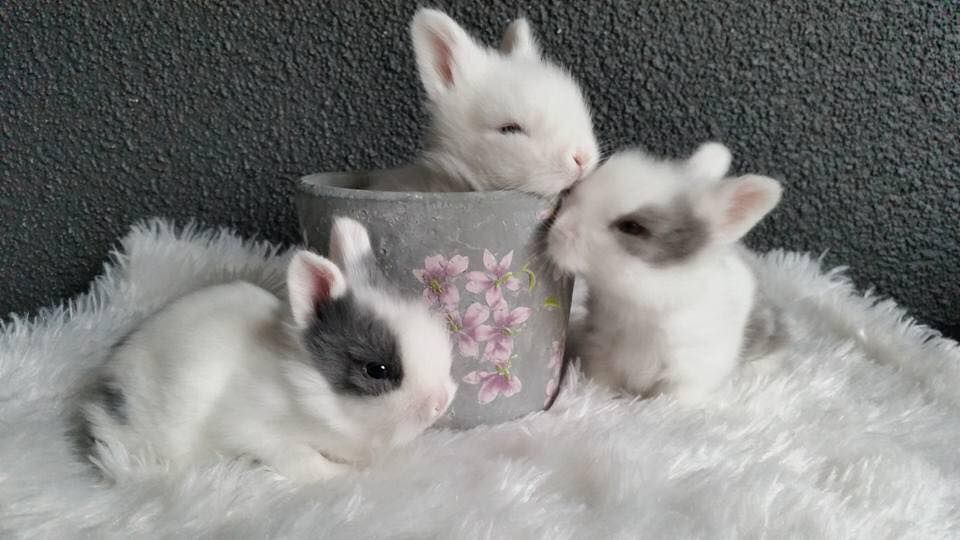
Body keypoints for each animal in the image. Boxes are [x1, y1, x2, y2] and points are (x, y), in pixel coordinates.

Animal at [82, 217, 457, 482]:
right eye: (377, 370)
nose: (441, 403)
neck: (307, 388)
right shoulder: (260, 432)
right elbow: (304, 461)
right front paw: (344, 474)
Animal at [547, 142, 786, 402]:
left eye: (632, 227)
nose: (557, 229)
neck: (638, 311)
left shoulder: (689, 373)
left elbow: (671, 400)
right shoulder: (600, 350)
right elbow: (601, 383)